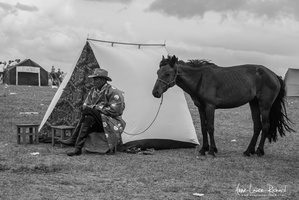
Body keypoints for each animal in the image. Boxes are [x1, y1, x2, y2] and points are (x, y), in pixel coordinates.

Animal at [154, 55, 294, 157]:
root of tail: (274, 75)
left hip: (265, 106)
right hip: (254, 104)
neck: (200, 78)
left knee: (265, 127)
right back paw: (248, 151)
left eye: (167, 73)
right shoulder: (201, 108)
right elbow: (204, 127)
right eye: (157, 72)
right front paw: (204, 149)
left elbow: (210, 128)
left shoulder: (210, 107)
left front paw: (212, 150)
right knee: (257, 126)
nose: (155, 92)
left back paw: (259, 151)